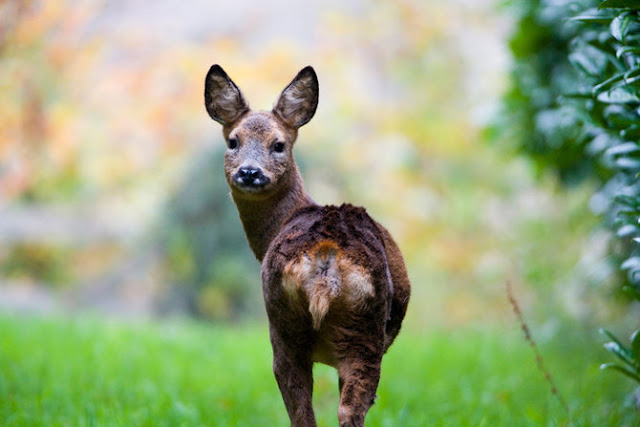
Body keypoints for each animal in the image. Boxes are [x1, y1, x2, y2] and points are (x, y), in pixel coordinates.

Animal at [208, 64, 412, 427]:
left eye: (278, 144)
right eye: (233, 141)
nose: (249, 172)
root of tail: (325, 258)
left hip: (292, 323)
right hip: (355, 331)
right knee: (342, 410)